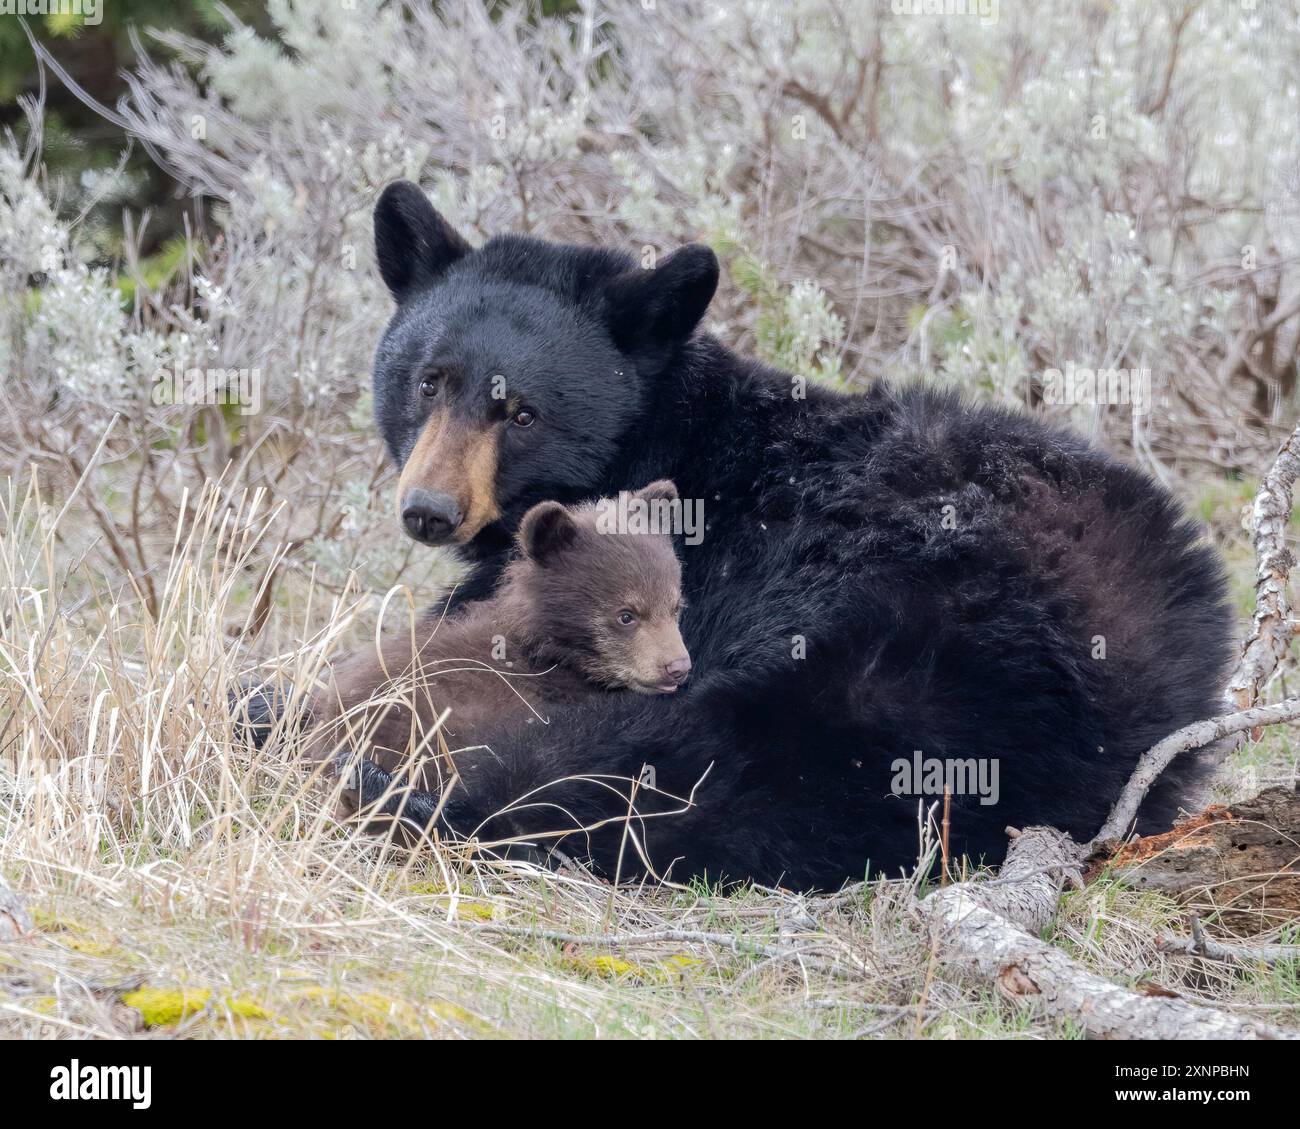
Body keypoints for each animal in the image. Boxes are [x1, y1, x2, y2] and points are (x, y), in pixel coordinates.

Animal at [338, 176, 1237, 884]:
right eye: (428, 380)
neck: (665, 439)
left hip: (927, 641)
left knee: (734, 764)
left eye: (522, 411)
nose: (429, 509)